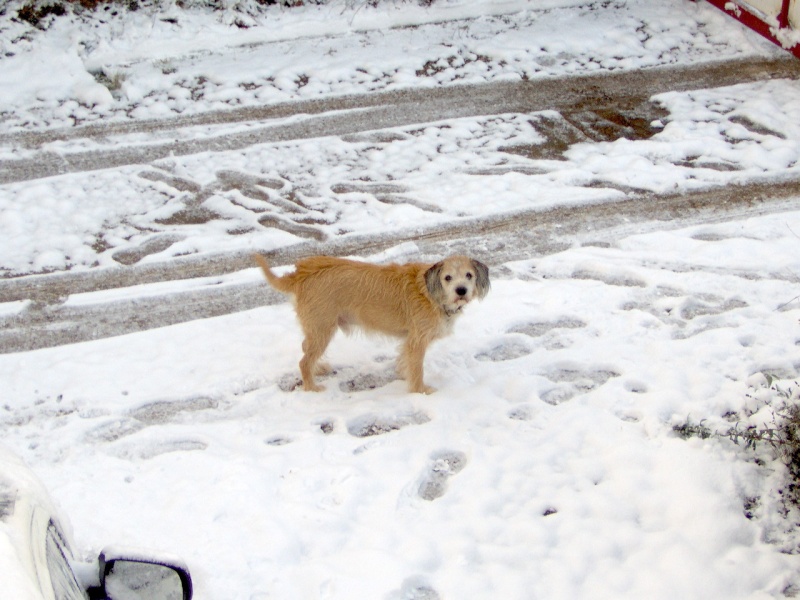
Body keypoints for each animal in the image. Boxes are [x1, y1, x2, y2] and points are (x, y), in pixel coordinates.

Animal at [256, 254, 490, 392]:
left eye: (468, 275)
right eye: (448, 277)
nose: (461, 290)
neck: (430, 292)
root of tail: (302, 272)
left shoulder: (409, 341)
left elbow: (405, 362)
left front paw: (404, 376)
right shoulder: (417, 341)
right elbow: (417, 369)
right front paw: (420, 391)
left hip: (316, 329)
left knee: (305, 348)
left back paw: (318, 368)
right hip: (323, 329)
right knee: (304, 361)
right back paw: (311, 387)